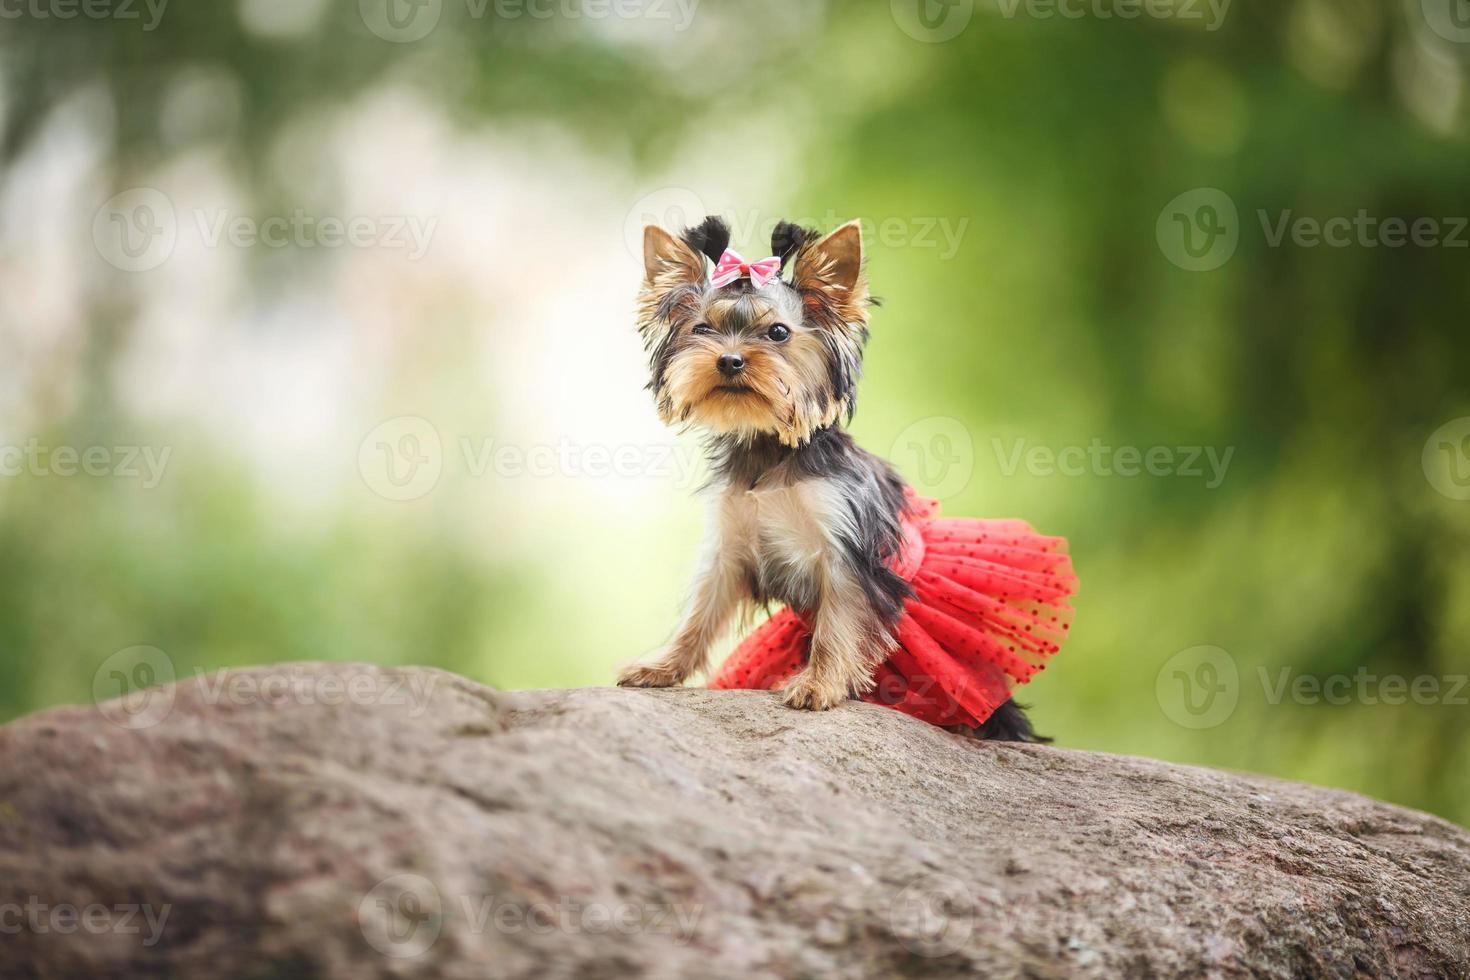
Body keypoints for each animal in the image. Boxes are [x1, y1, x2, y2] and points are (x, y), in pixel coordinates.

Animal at [614, 213, 1076, 734]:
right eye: (702, 328)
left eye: (778, 332)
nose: (729, 360)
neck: (770, 451)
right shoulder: (729, 549)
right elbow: (700, 613)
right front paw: (662, 667)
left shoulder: (845, 551)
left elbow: (838, 622)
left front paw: (817, 686)